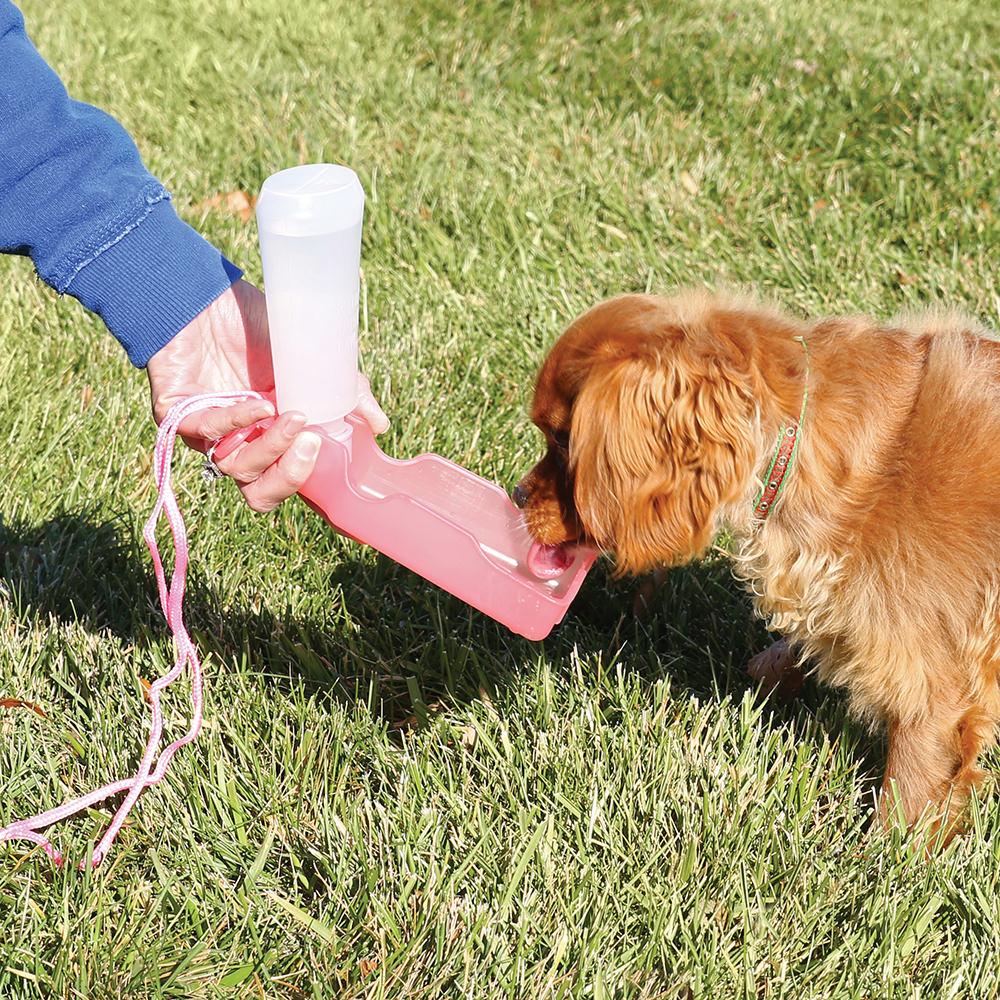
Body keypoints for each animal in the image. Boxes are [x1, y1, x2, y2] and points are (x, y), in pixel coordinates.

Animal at [516, 292, 1000, 844]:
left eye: (563, 441)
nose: (518, 495)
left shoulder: (933, 683)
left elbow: (913, 780)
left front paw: (885, 855)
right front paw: (771, 668)